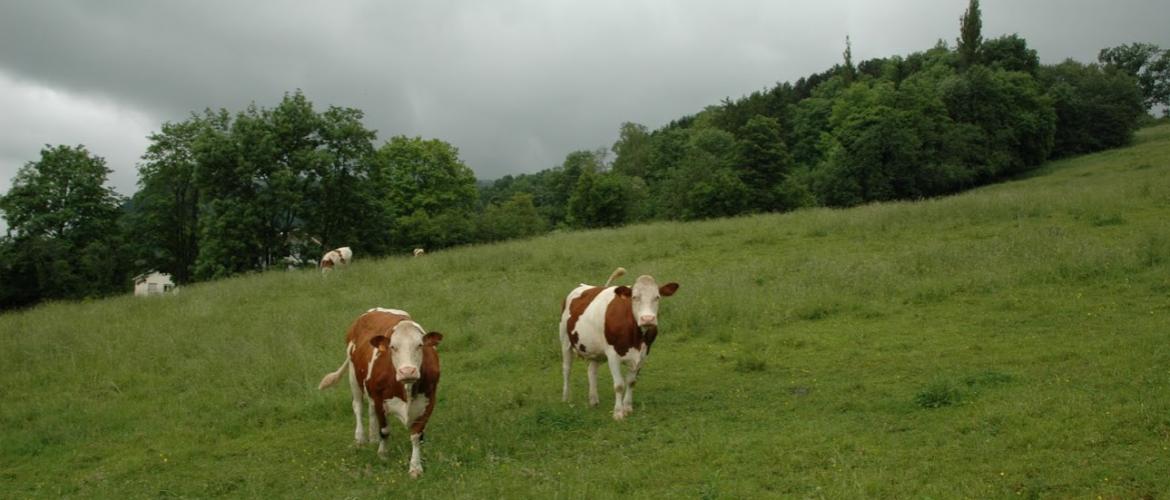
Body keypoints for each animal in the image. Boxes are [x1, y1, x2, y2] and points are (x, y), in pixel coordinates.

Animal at [318, 309, 444, 477]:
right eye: (393, 347)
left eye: (420, 345)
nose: (407, 371)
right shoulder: (379, 399)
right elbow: (384, 430)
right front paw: (383, 454)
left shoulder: (429, 400)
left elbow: (417, 435)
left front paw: (415, 467)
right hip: (353, 375)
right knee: (358, 407)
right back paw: (360, 438)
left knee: (370, 411)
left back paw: (373, 438)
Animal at [561, 268, 683, 421]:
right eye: (635, 297)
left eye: (657, 297)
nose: (647, 319)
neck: (636, 338)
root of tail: (584, 286)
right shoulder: (612, 355)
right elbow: (619, 385)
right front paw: (618, 413)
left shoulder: (643, 355)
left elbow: (631, 382)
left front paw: (628, 408)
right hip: (565, 340)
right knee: (567, 369)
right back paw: (566, 398)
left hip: (596, 350)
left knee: (592, 370)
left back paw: (593, 400)